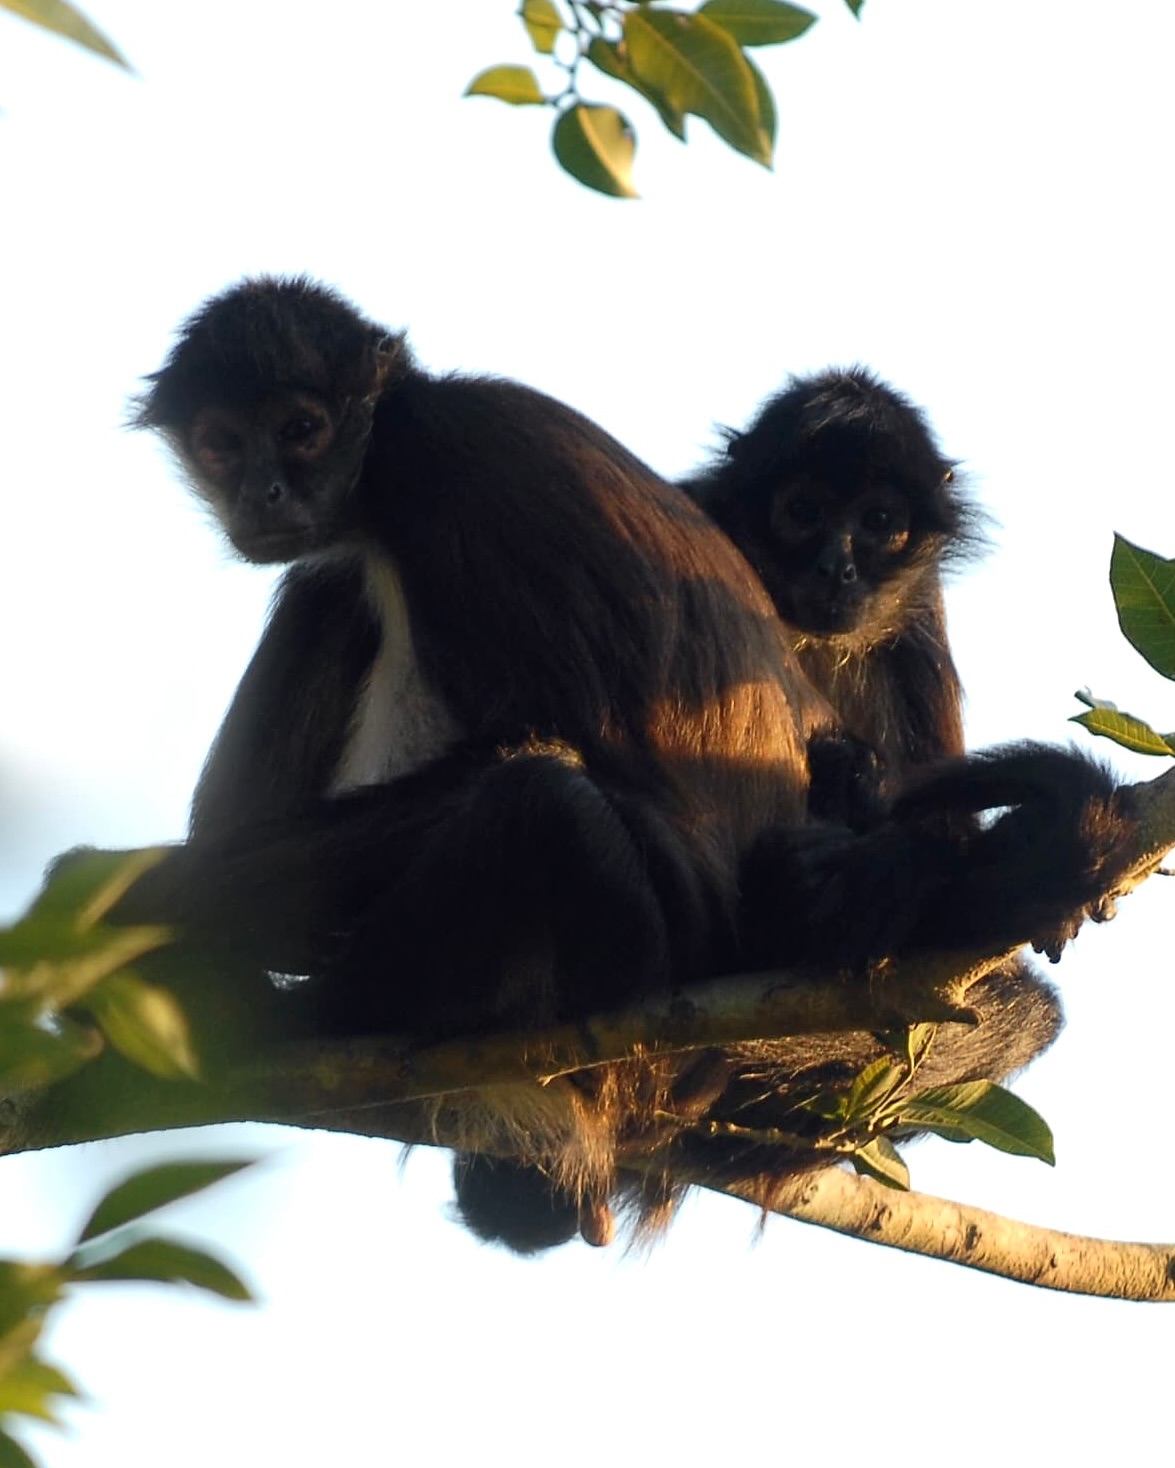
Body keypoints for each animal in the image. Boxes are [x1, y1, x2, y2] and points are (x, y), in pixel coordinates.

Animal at [119, 281, 1137, 1252]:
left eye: (302, 430)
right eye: (221, 445)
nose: (263, 493)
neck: (396, 430)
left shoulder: (446, 463)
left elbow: (549, 738)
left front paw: (150, 903)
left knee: (538, 797)